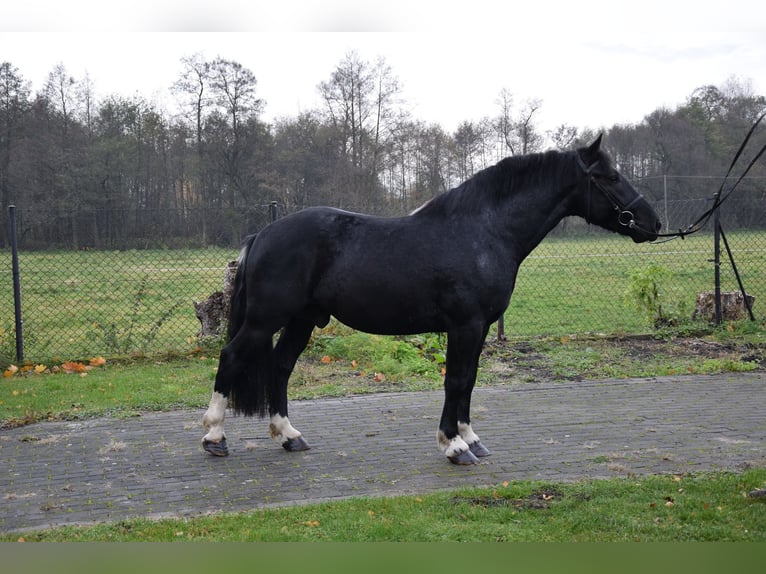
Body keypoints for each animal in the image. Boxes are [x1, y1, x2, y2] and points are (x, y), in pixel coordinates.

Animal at [201, 135, 662, 465]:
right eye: (610, 177)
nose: (653, 223)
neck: (483, 231)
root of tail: (264, 233)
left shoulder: (478, 328)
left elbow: (469, 381)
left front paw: (471, 439)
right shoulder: (465, 325)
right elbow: (455, 380)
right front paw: (454, 447)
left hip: (301, 320)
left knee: (280, 367)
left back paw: (290, 437)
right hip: (265, 319)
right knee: (231, 357)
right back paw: (214, 437)